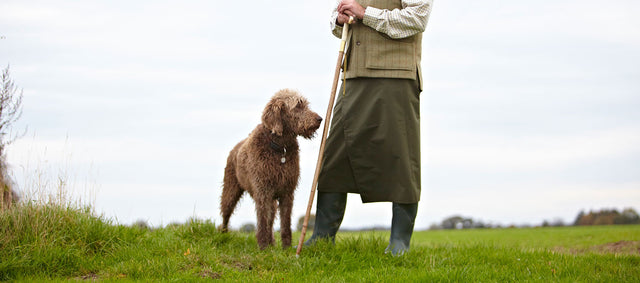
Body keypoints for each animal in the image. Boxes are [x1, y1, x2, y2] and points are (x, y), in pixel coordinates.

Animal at [221, 90, 322, 250]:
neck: (280, 148)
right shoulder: (263, 192)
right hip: (231, 190)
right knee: (226, 214)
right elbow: (262, 222)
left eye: (305, 105)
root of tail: (234, 148)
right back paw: (223, 235)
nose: (320, 119)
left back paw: (272, 243)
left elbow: (285, 224)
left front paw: (286, 248)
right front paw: (263, 248)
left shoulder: (287, 192)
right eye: (298, 106)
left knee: (270, 221)